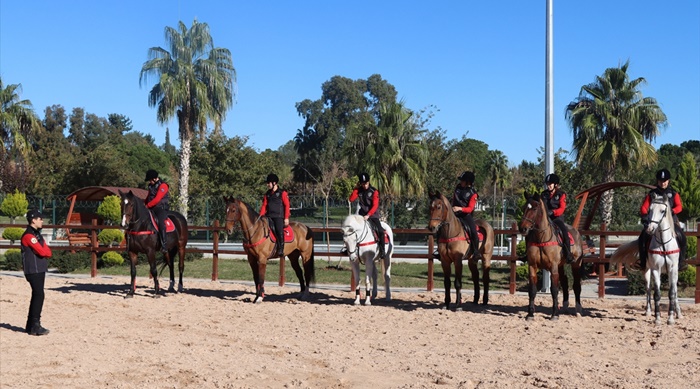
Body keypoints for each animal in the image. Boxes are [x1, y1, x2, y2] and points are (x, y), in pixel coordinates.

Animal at [520, 189, 584, 320]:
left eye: (535, 208)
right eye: (524, 207)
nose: (522, 228)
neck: (541, 238)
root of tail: (577, 232)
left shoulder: (553, 267)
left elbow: (554, 290)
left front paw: (554, 314)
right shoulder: (532, 266)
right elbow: (532, 290)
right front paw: (530, 314)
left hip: (576, 264)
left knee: (576, 286)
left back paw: (578, 309)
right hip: (561, 266)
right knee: (565, 282)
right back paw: (565, 306)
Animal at [612, 194, 684, 324]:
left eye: (662, 211)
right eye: (650, 209)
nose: (650, 228)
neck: (663, 243)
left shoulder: (673, 268)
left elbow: (672, 293)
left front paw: (670, 318)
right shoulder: (655, 269)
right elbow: (657, 294)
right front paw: (657, 318)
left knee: (674, 290)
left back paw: (678, 313)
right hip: (646, 271)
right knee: (648, 289)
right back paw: (648, 311)